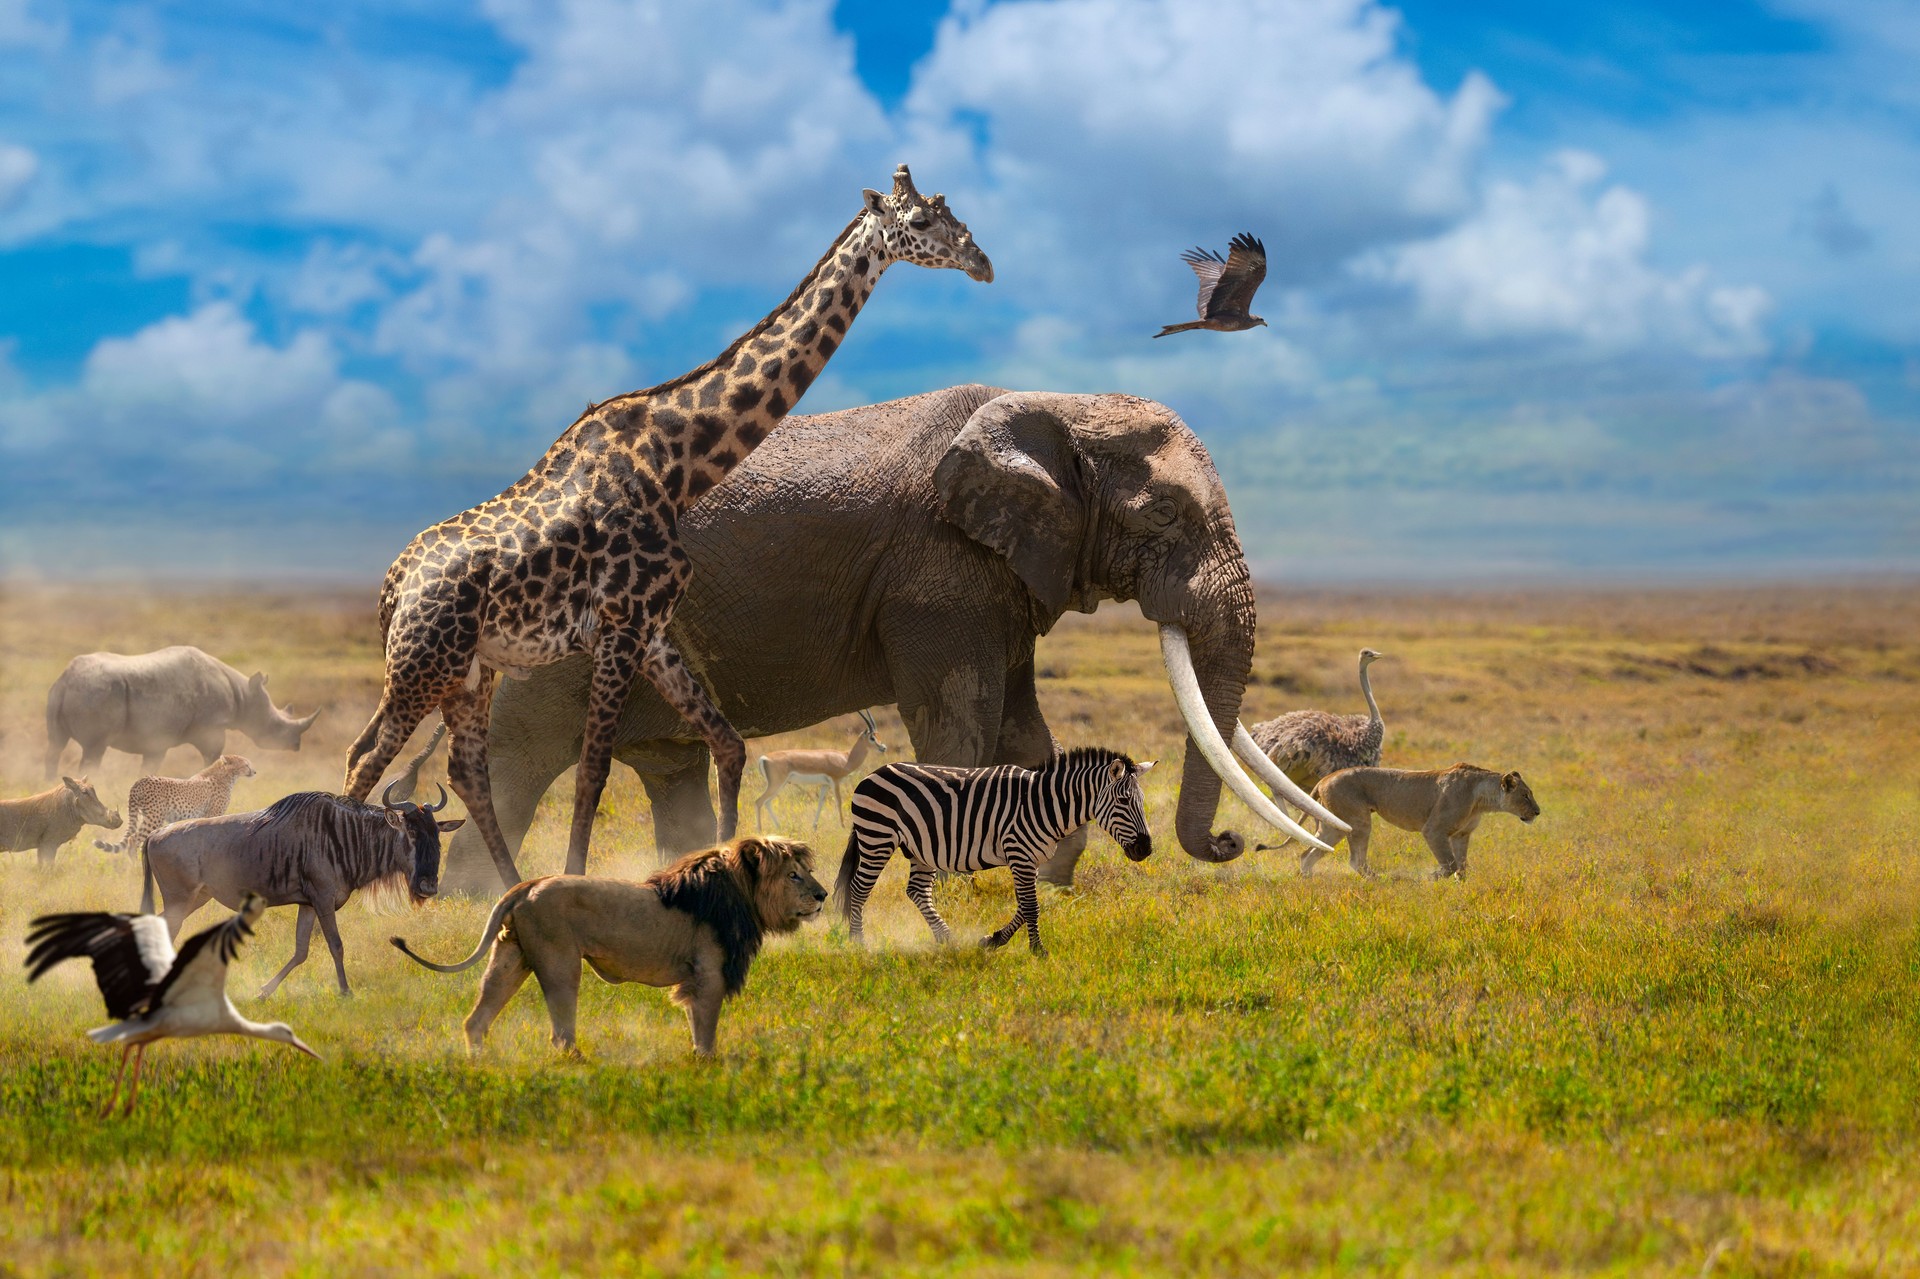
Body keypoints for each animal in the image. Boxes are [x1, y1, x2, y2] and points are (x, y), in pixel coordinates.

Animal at [345, 162, 998, 887]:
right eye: (921, 221)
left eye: (952, 211)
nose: (983, 262)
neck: (677, 462)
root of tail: (392, 585)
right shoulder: (620, 626)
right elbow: (593, 773)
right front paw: (576, 883)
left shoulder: (654, 630)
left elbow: (728, 745)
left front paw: (730, 858)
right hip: (423, 662)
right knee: (366, 754)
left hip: (470, 670)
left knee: (462, 769)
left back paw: (506, 887)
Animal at [397, 833, 825, 1052]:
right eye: (793, 875)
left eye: (806, 871)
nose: (822, 896)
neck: (742, 896)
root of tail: (528, 886)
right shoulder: (708, 977)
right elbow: (705, 1035)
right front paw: (706, 1070)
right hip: (560, 964)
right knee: (561, 1034)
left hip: (509, 958)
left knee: (477, 1020)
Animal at [441, 384, 1344, 891]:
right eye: (1163, 514)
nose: (1230, 842)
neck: (1061, 405)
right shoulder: (936, 574)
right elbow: (962, 724)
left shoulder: (1005, 577)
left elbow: (1025, 731)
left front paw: (1054, 878)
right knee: (520, 755)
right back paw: (471, 901)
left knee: (671, 772)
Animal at [829, 748, 1152, 944]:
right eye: (1123, 800)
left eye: (1141, 801)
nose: (1146, 849)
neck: (1043, 804)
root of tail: (872, 773)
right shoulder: (1020, 853)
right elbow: (1031, 906)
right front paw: (1038, 951)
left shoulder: (1030, 859)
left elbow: (1024, 906)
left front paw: (992, 941)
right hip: (877, 838)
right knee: (859, 889)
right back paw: (858, 942)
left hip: (920, 849)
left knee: (917, 891)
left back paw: (947, 939)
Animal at [1290, 756, 1543, 875]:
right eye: (1525, 795)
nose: (1538, 812)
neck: (1481, 799)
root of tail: (1324, 779)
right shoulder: (1434, 830)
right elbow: (1450, 864)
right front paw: (1432, 878)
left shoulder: (1461, 835)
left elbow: (1462, 866)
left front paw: (1462, 888)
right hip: (1357, 821)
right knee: (1355, 861)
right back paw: (1381, 881)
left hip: (1333, 824)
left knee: (1307, 853)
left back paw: (1307, 880)